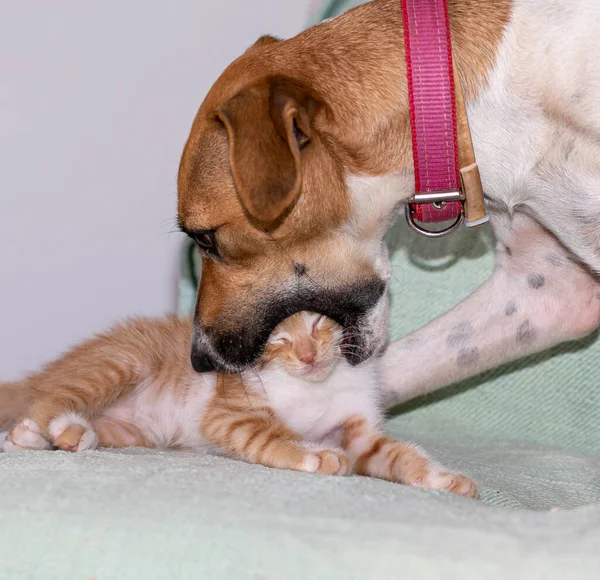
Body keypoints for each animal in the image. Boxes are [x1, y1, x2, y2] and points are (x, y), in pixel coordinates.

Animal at [1, 312, 478, 498]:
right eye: (277, 338)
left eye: (316, 323)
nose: (308, 356)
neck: (317, 386)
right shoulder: (229, 410)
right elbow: (266, 433)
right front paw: (314, 454)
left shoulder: (357, 429)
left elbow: (393, 453)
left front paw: (442, 478)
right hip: (121, 360)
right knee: (52, 394)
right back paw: (63, 426)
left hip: (130, 430)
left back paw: (28, 437)